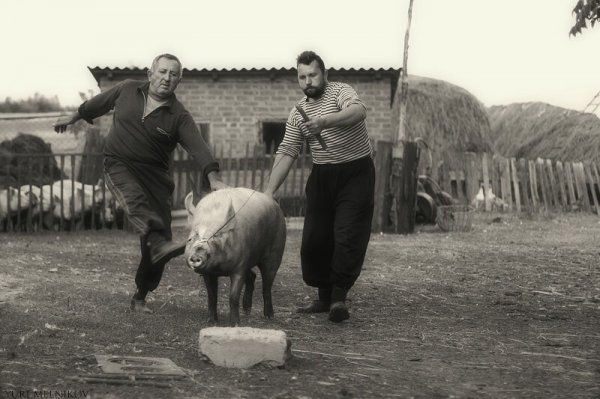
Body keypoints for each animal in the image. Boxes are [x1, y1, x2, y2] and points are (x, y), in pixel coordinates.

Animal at [185, 188, 286, 328]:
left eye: (215, 236)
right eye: (191, 238)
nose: (197, 254)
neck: (219, 268)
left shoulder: (239, 268)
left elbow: (233, 297)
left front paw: (235, 325)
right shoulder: (208, 273)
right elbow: (211, 296)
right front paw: (211, 322)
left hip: (275, 253)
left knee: (267, 285)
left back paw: (269, 316)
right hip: (248, 261)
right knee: (253, 276)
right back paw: (247, 311)